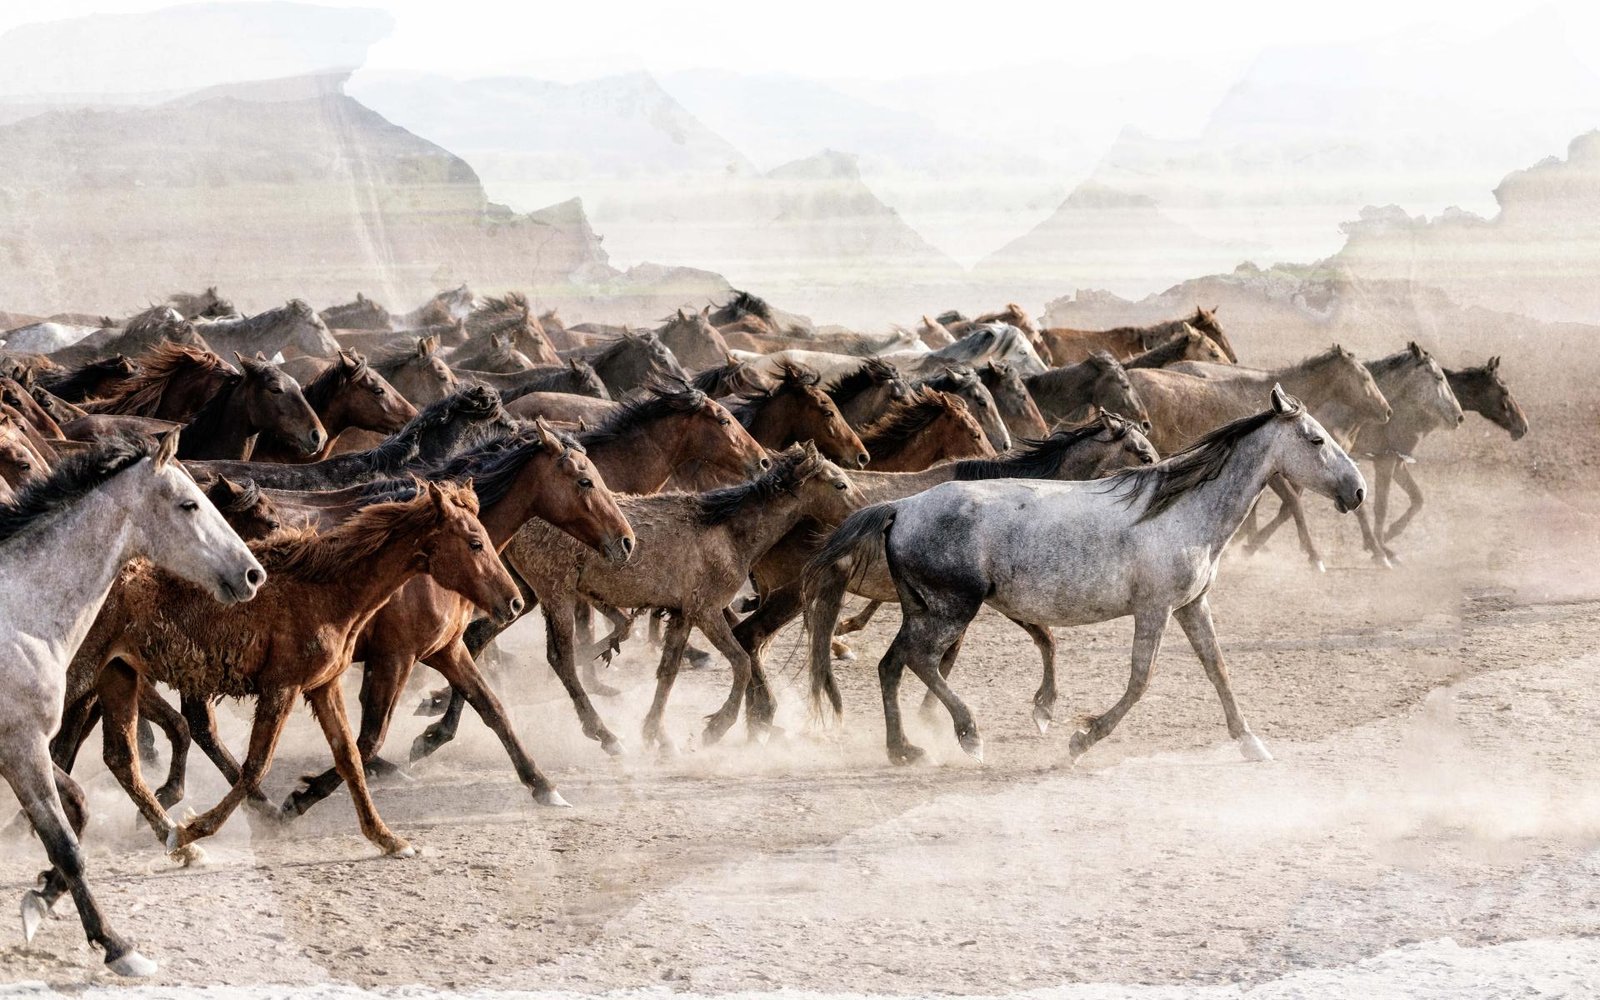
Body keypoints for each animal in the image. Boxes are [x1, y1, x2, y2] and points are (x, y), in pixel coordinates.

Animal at [0, 429, 262, 977]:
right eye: (190, 504)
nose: (253, 575)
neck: (20, 617)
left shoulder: (23, 750)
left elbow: (77, 811)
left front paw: (41, 896)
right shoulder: (22, 749)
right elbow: (67, 845)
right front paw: (117, 946)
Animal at [803, 387, 1363, 766]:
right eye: (1315, 439)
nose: (1357, 491)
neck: (1180, 511)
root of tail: (901, 507)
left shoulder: (1190, 605)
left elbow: (1218, 669)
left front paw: (1251, 743)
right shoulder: (1155, 608)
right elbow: (1140, 679)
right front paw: (1079, 739)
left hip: (924, 609)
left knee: (891, 665)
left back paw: (904, 749)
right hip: (950, 609)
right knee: (919, 660)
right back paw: (969, 735)